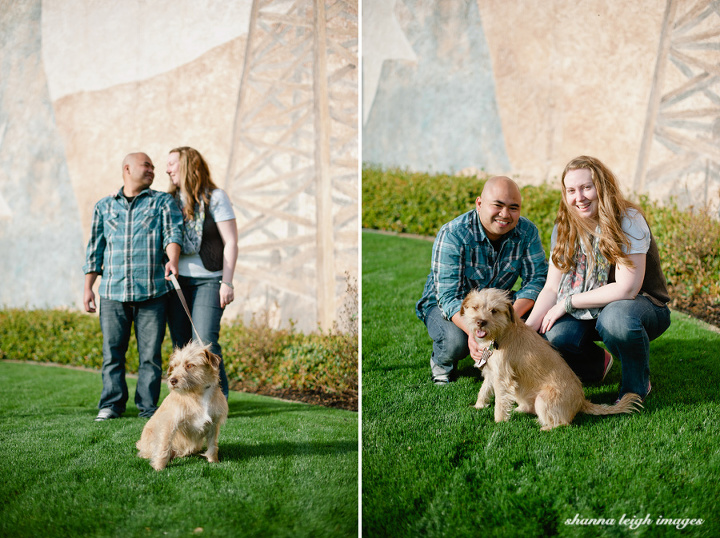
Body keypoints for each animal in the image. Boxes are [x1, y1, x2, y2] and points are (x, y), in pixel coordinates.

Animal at [134, 340, 225, 468]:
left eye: (190, 365)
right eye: (175, 366)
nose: (172, 380)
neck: (198, 394)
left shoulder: (213, 424)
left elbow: (212, 445)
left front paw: (213, 461)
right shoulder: (169, 423)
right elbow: (164, 446)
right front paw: (159, 467)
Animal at [462, 286, 640, 430]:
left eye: (494, 311)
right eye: (475, 307)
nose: (480, 322)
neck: (500, 334)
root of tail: (582, 401)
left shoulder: (502, 378)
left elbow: (500, 402)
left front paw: (498, 422)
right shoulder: (492, 372)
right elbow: (483, 390)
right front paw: (478, 405)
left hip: (543, 399)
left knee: (564, 423)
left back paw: (544, 426)